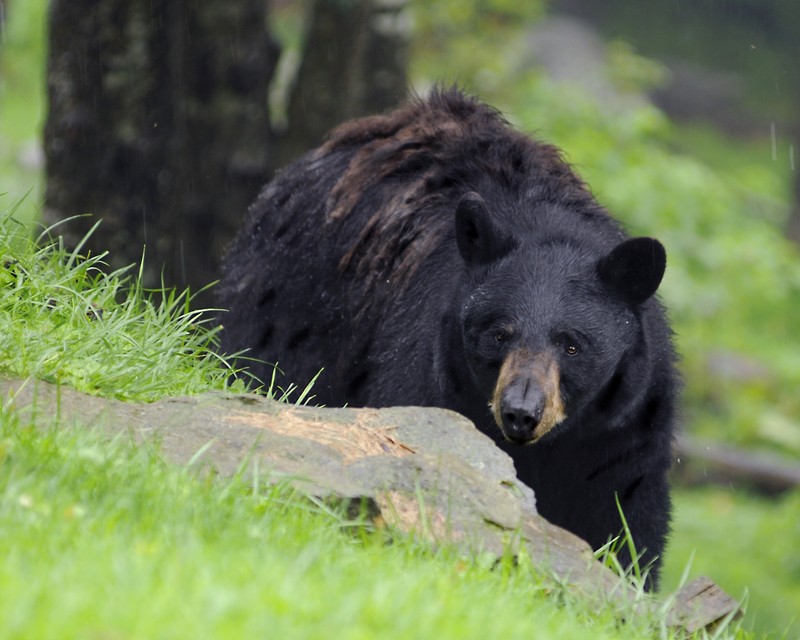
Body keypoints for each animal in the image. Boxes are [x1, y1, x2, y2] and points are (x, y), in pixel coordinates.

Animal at [222, 89, 680, 592]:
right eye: (498, 334)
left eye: (573, 345)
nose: (521, 413)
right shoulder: (427, 366)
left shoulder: (625, 425)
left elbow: (623, 513)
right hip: (291, 305)